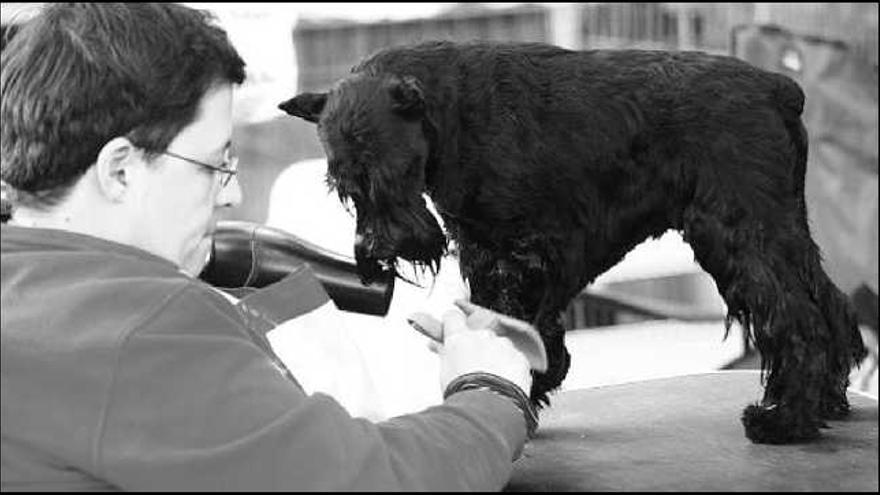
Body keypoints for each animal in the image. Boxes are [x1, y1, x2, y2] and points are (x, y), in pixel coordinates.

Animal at [280, 40, 868, 444]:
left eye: (392, 173)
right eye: (343, 186)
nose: (376, 250)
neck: (452, 117)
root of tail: (779, 88)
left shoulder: (526, 250)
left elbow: (520, 319)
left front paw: (523, 383)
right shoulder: (486, 249)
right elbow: (511, 317)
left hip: (741, 234)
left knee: (798, 320)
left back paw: (787, 420)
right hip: (782, 227)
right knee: (831, 304)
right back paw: (828, 403)